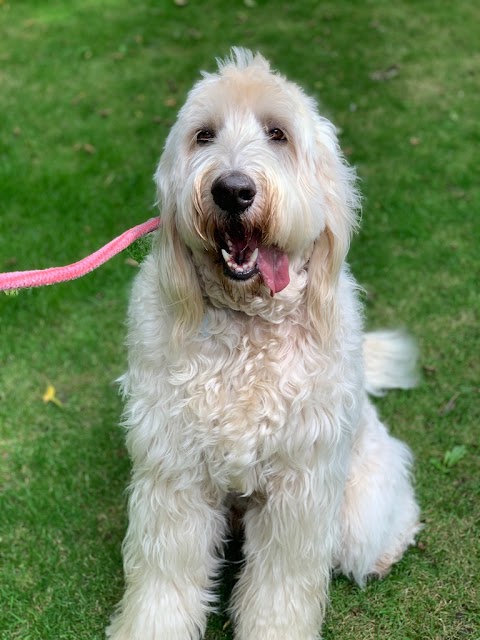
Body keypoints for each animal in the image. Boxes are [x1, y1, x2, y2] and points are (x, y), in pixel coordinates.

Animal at [108, 47, 420, 636]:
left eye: (277, 134)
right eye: (204, 135)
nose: (232, 189)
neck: (246, 324)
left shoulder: (300, 489)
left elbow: (281, 586)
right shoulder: (174, 473)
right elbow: (166, 574)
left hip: (358, 502)